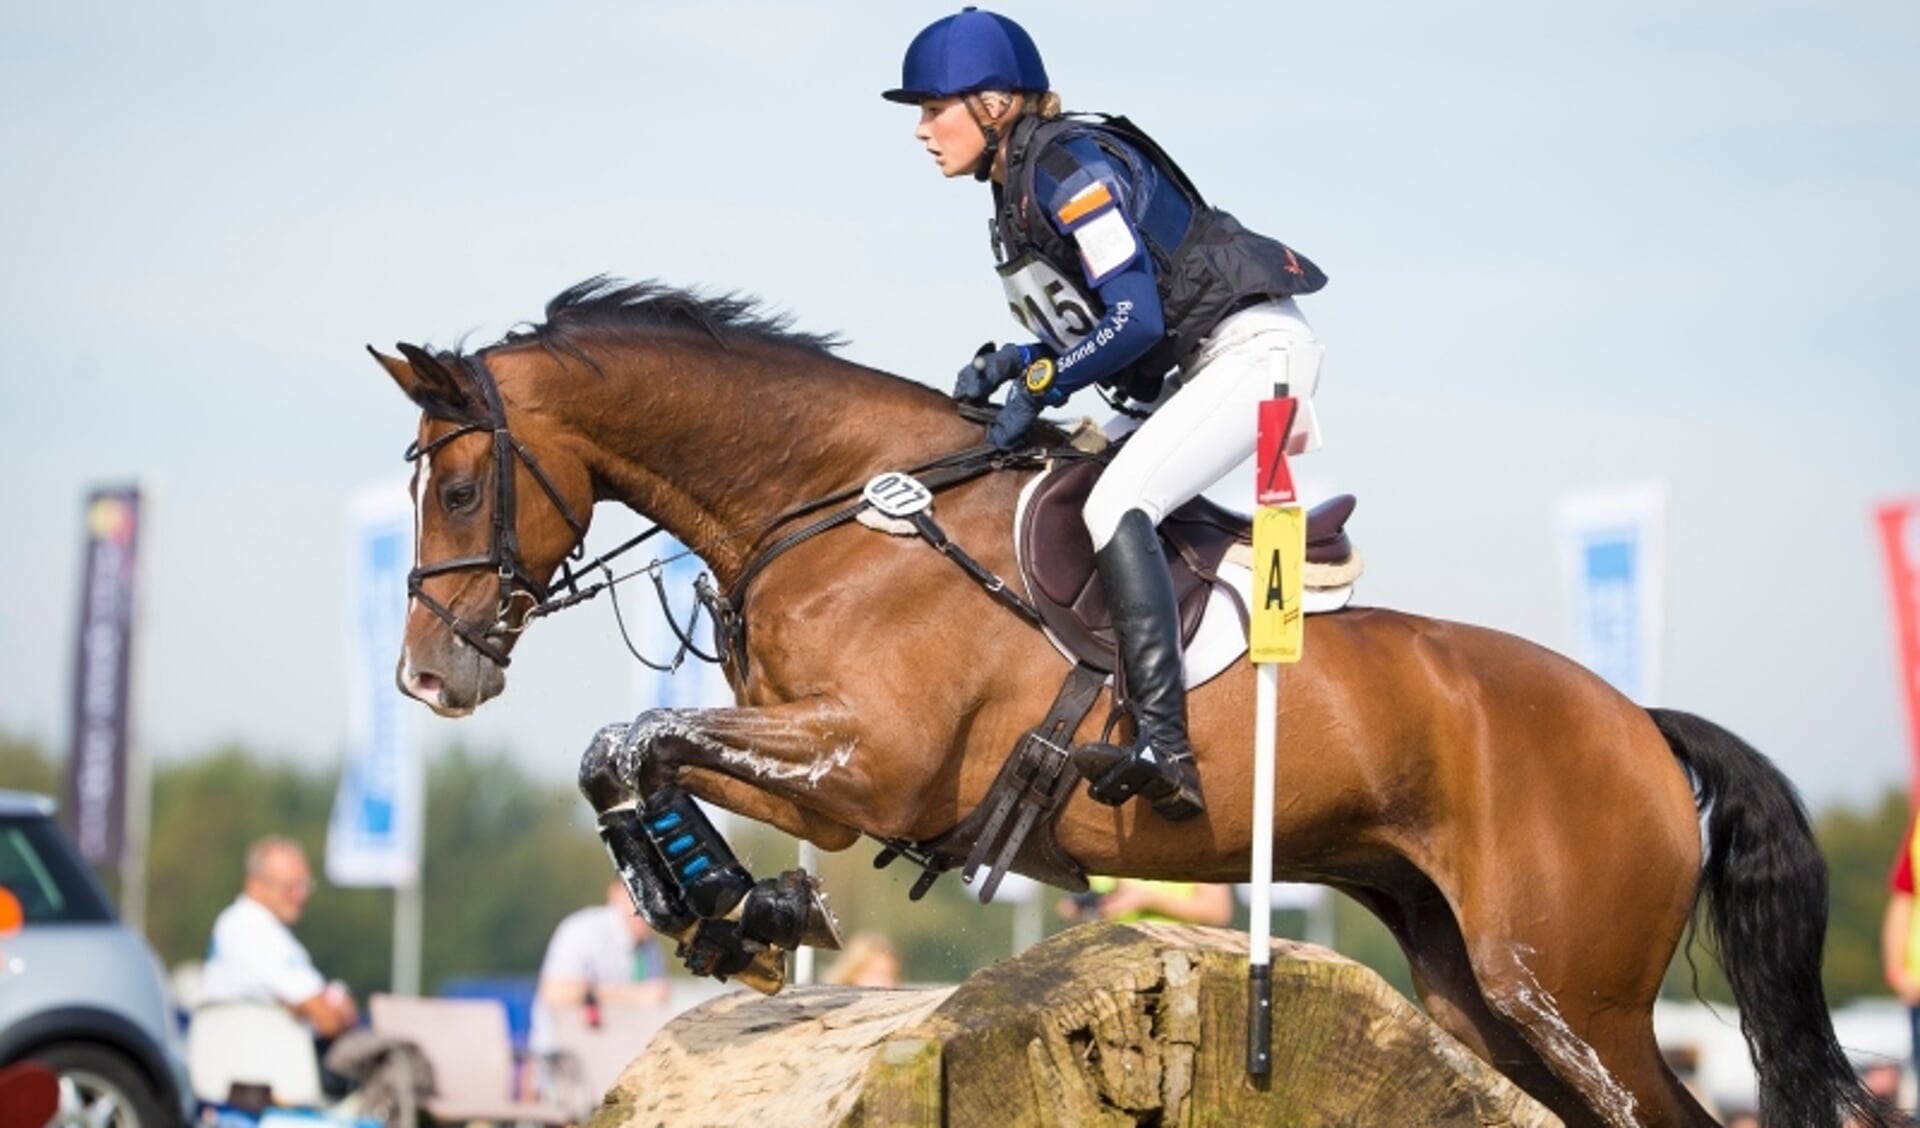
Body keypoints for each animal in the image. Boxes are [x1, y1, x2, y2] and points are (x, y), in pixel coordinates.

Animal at [370, 276, 1873, 1128]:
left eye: (460, 487)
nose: (429, 678)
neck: (838, 510)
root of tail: (1641, 725)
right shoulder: (821, 777)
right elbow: (624, 753)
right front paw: (746, 913)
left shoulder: (867, 764)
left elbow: (631, 736)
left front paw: (732, 915)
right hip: (1475, 993)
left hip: (1572, 995)